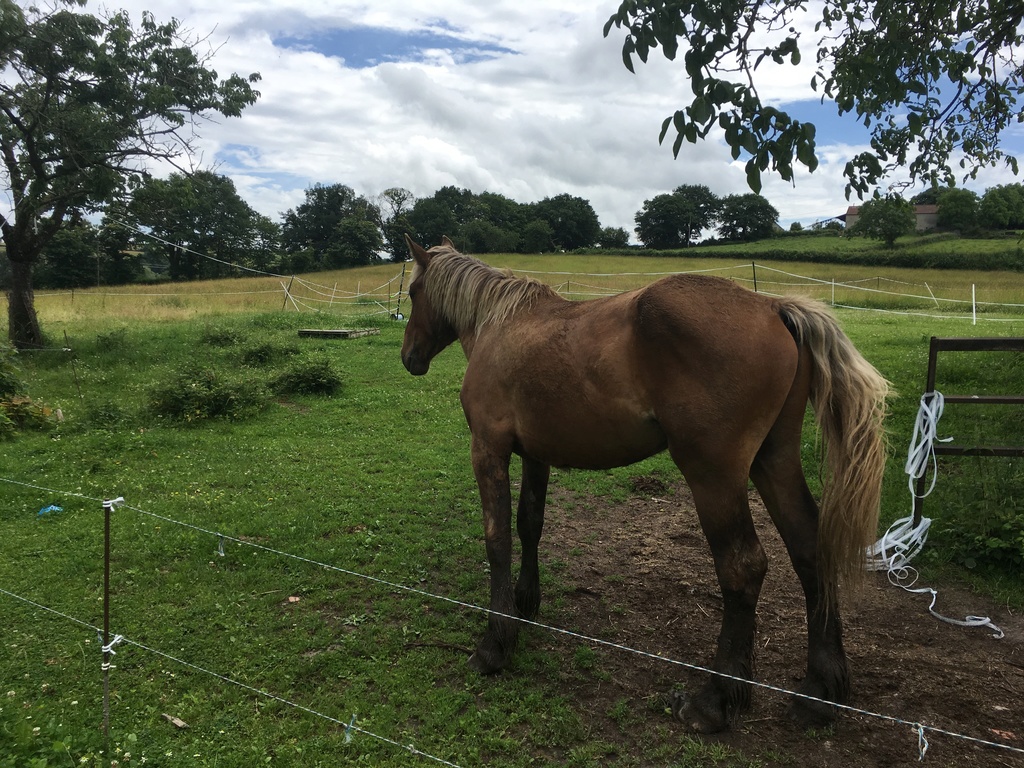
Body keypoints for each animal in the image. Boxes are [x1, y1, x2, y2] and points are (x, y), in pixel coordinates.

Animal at [399, 237, 888, 737]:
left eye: (414, 291)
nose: (409, 358)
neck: (501, 326)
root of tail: (773, 306)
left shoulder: (488, 450)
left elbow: (497, 540)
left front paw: (494, 645)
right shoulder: (535, 455)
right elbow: (529, 524)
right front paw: (525, 602)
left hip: (714, 474)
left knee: (742, 567)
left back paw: (714, 700)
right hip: (774, 460)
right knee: (809, 548)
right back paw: (820, 690)